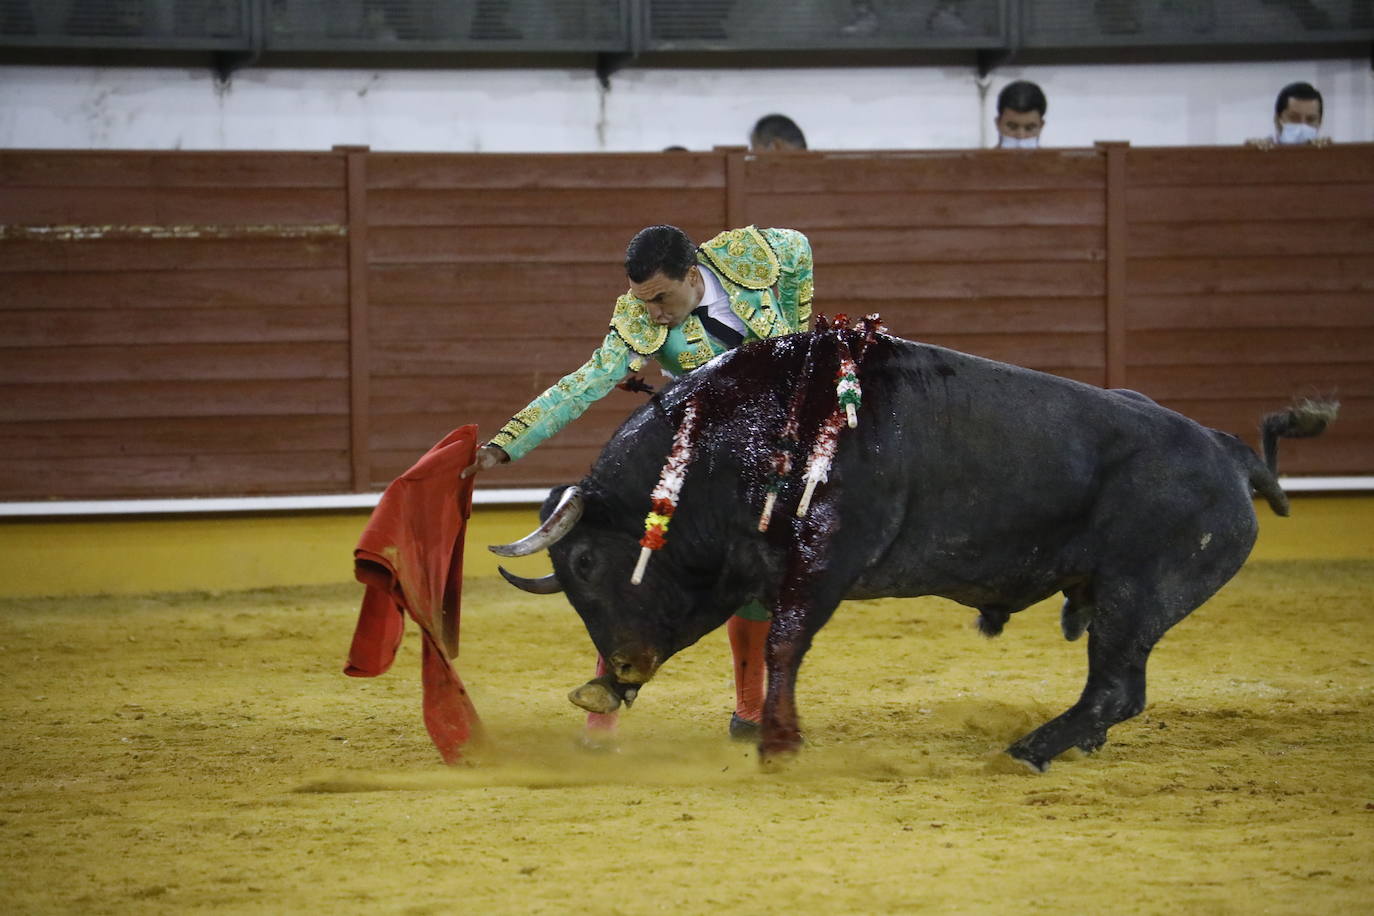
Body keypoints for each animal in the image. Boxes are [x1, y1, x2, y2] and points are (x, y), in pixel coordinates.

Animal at [491, 330, 1330, 774]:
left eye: (588, 565)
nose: (624, 666)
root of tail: (1226, 451)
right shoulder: (737, 570)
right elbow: (737, 635)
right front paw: (605, 694)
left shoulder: (823, 561)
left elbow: (785, 644)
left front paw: (780, 744)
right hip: (1119, 600)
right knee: (1116, 691)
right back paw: (1066, 746)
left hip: (1137, 597)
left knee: (1116, 688)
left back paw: (1030, 748)